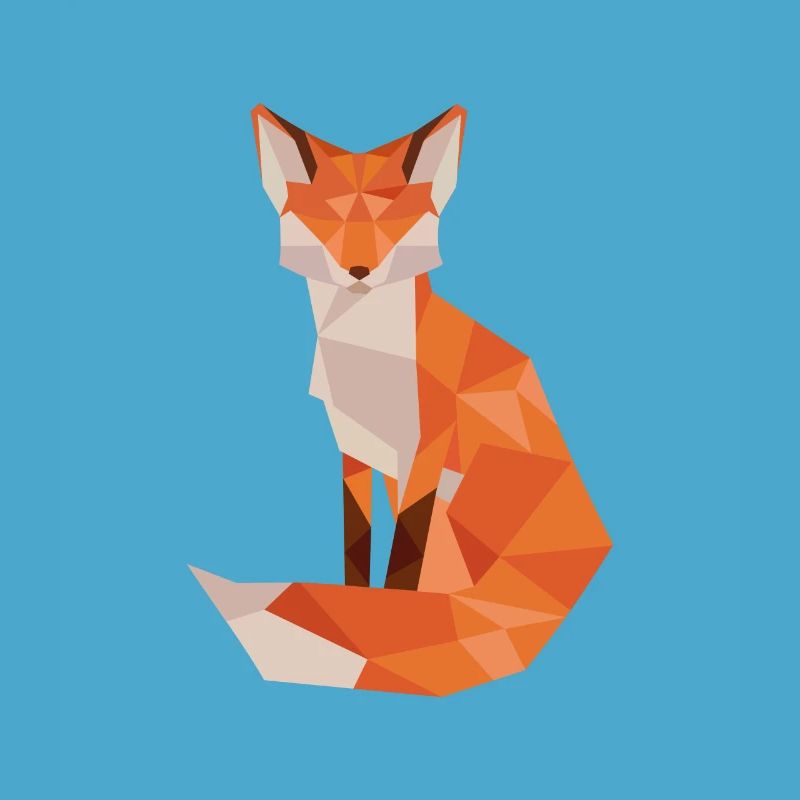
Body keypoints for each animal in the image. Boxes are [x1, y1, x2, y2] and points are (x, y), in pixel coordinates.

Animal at [190, 105, 612, 696]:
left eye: (392, 221)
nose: (358, 271)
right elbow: (358, 546)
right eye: (329, 221)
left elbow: (403, 561)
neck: (366, 356)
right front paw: (357, 601)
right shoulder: (354, 449)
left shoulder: (426, 452)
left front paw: (388, 612)